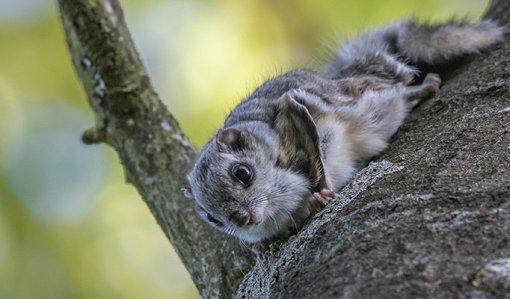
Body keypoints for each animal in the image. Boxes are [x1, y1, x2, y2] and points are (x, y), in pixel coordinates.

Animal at [181, 18, 504, 254]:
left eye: (243, 173)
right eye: (210, 217)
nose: (241, 220)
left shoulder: (294, 111)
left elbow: (315, 158)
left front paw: (319, 195)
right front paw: (261, 245)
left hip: (365, 94)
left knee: (399, 88)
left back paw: (423, 87)